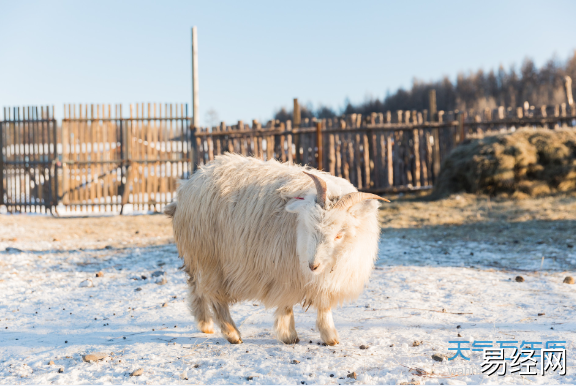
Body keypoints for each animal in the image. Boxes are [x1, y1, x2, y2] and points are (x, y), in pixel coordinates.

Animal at [164, 152, 390, 346]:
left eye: (338, 235)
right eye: (309, 226)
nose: (313, 265)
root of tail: (187, 186)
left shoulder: (323, 279)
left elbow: (323, 305)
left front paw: (328, 337)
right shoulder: (283, 270)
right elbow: (287, 303)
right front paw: (289, 335)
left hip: (197, 257)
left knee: (195, 287)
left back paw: (205, 324)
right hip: (210, 259)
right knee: (216, 297)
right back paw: (232, 334)